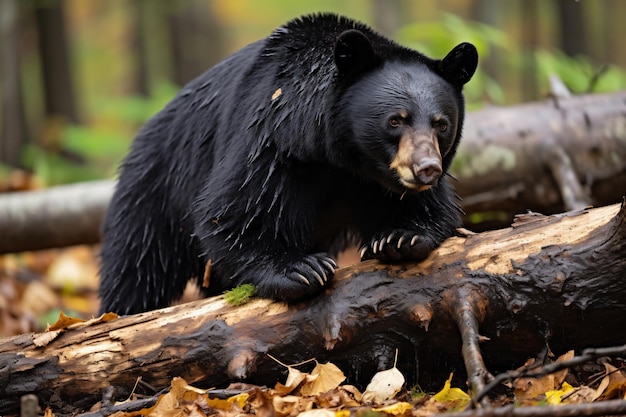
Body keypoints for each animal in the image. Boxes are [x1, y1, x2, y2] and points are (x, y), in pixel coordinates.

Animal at [100, 12, 476, 312]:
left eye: (441, 124)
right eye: (395, 120)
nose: (426, 168)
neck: (339, 154)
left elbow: (429, 209)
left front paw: (399, 238)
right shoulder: (273, 137)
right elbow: (236, 210)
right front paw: (300, 270)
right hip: (155, 191)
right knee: (137, 265)